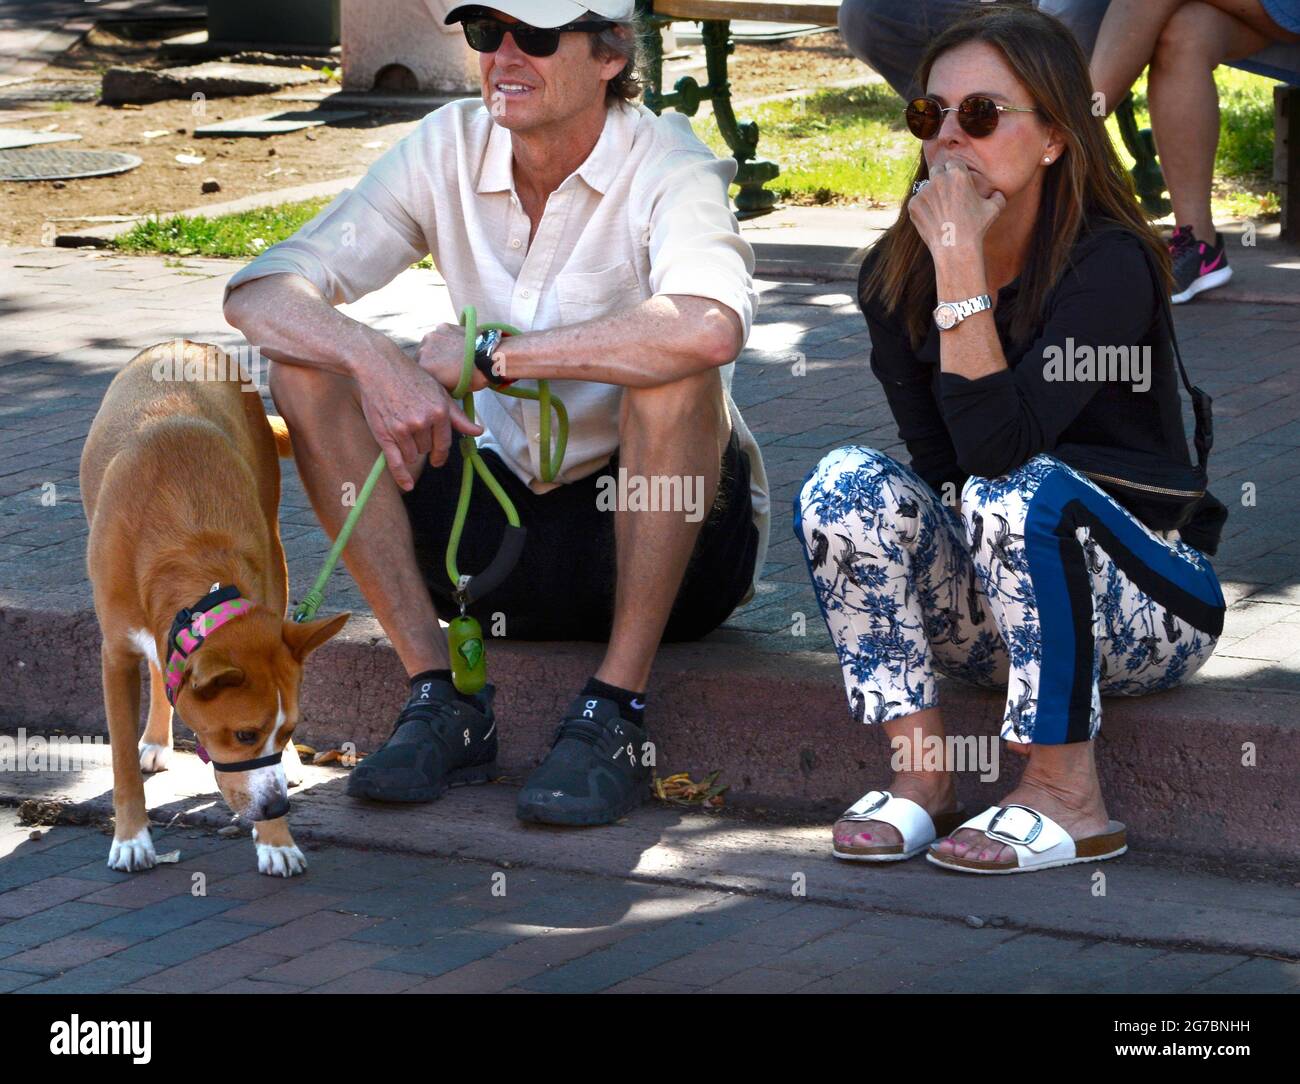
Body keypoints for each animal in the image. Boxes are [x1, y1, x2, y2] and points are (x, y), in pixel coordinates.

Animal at [79, 343, 348, 873]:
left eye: (288, 729)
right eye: (244, 735)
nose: (279, 808)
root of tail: (183, 344)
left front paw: (276, 840)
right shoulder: (115, 654)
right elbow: (121, 759)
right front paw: (132, 837)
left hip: (276, 549)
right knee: (158, 671)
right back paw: (156, 741)